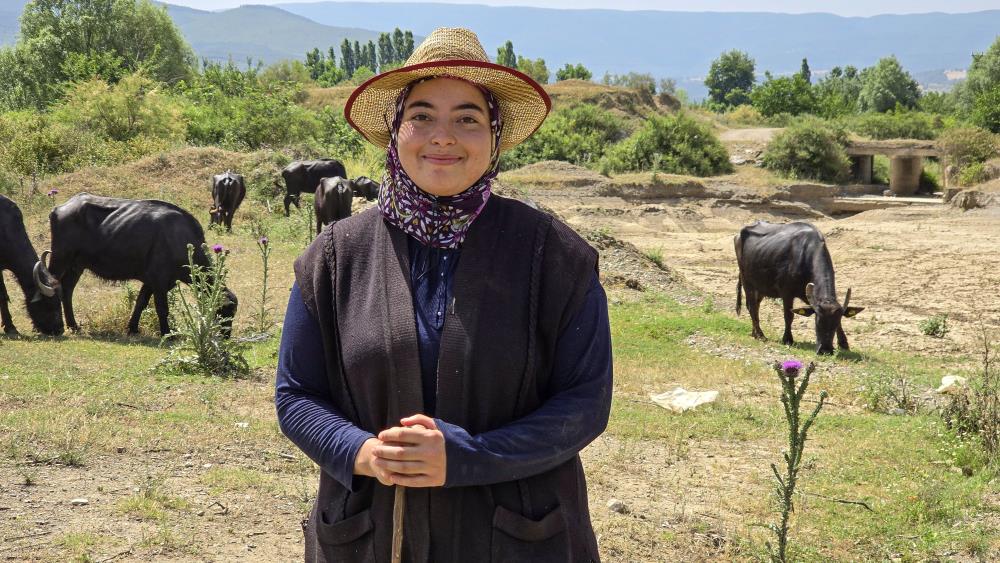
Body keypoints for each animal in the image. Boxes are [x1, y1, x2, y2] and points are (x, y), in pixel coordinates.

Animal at [34, 194, 238, 338]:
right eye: (225, 312)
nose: (226, 336)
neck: (180, 239)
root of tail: (59, 208)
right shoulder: (159, 282)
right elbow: (162, 308)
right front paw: (167, 333)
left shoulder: (150, 282)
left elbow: (140, 303)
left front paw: (132, 328)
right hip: (60, 258)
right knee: (50, 286)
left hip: (77, 265)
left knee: (67, 290)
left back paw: (73, 325)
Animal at [732, 223, 864, 354]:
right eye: (818, 321)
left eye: (835, 323)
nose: (825, 350)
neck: (805, 256)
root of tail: (739, 234)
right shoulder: (786, 293)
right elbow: (788, 316)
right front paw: (787, 339)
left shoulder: (809, 297)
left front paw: (844, 343)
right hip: (747, 282)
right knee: (752, 307)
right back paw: (760, 335)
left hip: (760, 287)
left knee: (756, 306)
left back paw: (754, 332)